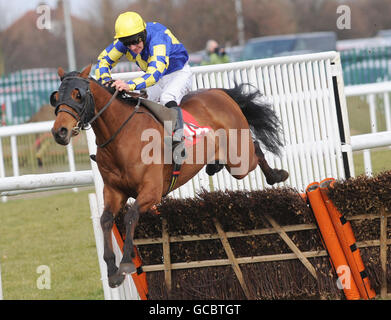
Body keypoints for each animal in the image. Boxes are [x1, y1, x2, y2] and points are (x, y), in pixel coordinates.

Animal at [49, 64, 288, 288]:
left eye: (78, 95)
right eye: (56, 97)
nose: (59, 132)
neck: (122, 135)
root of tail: (220, 93)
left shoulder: (151, 192)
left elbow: (131, 215)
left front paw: (126, 262)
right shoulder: (114, 191)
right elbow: (106, 220)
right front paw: (112, 271)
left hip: (240, 162)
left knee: (256, 148)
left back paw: (277, 175)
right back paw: (216, 166)